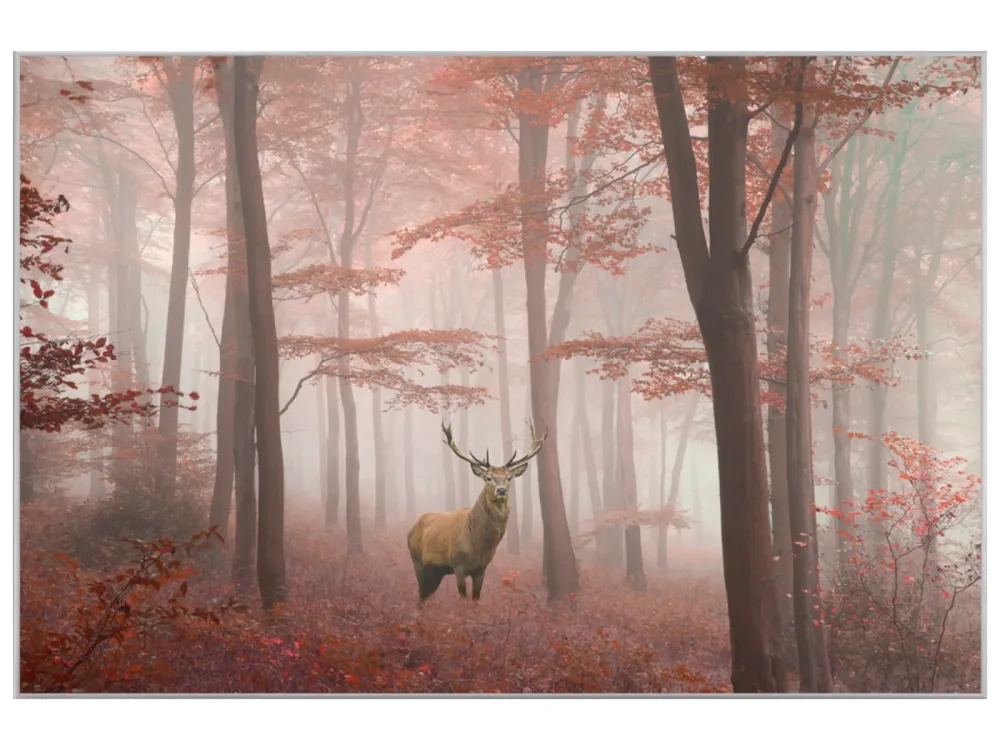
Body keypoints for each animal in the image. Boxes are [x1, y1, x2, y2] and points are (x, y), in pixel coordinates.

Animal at [406, 421, 547, 605]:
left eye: (509, 477)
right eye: (488, 477)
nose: (501, 490)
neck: (479, 544)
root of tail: (411, 529)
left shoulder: (481, 568)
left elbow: (475, 599)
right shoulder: (457, 564)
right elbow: (462, 597)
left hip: (436, 571)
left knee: (425, 595)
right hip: (417, 561)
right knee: (421, 594)